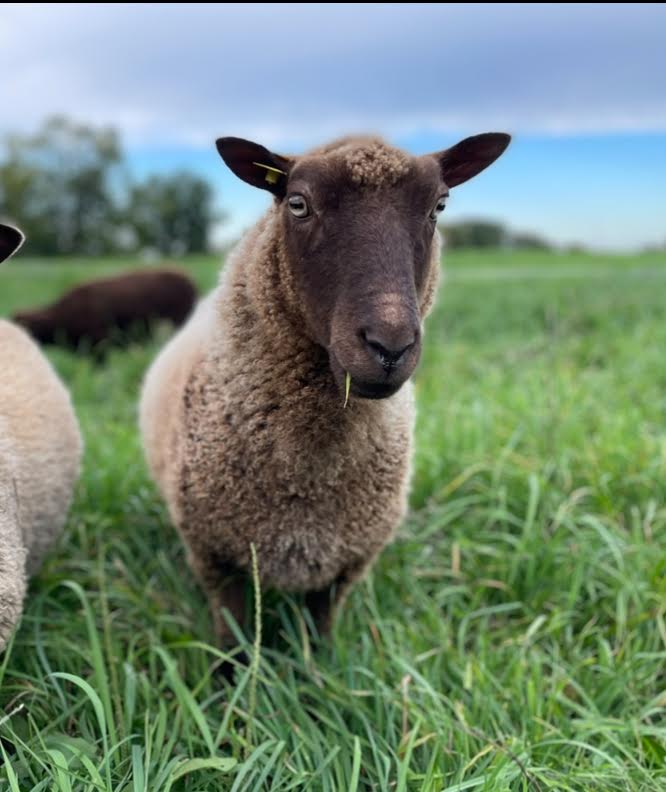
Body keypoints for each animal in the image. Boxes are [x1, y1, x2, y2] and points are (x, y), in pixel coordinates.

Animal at [140, 132, 510, 644]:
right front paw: (230, 670)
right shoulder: (217, 558)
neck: (309, 477)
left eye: (439, 205)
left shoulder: (344, 565)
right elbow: (234, 643)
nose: (390, 345)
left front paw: (320, 665)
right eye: (298, 204)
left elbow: (318, 637)